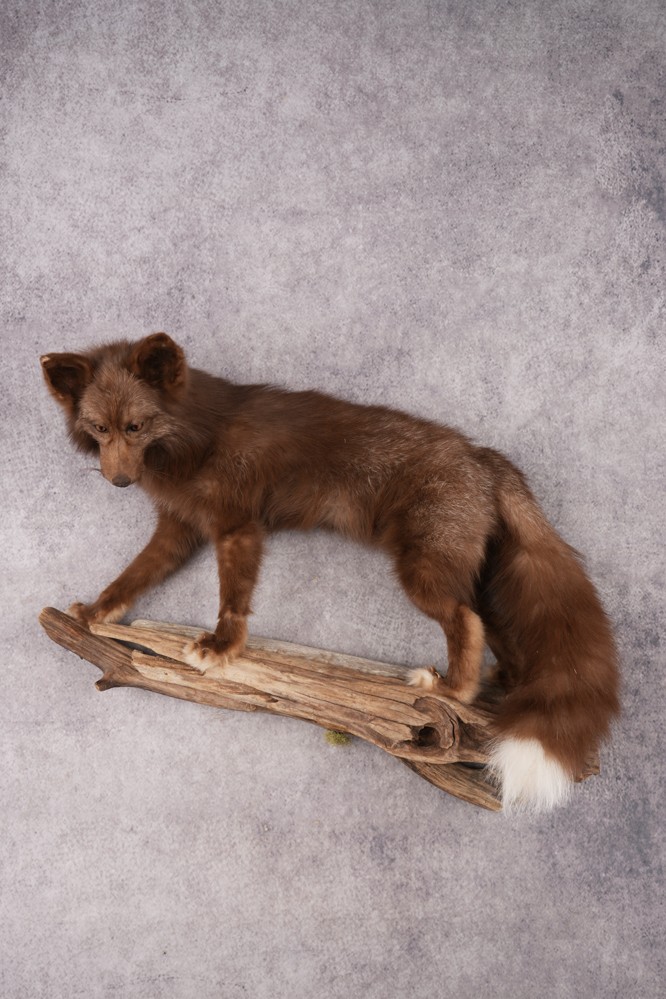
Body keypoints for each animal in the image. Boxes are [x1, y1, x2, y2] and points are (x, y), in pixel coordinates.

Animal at [41, 332, 619, 810]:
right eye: (99, 429)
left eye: (136, 426)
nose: (118, 480)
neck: (193, 441)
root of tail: (483, 456)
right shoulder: (180, 529)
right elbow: (133, 575)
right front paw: (97, 611)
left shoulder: (237, 527)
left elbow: (232, 599)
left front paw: (221, 648)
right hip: (467, 573)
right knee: (492, 628)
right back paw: (499, 682)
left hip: (422, 572)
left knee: (466, 620)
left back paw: (453, 690)